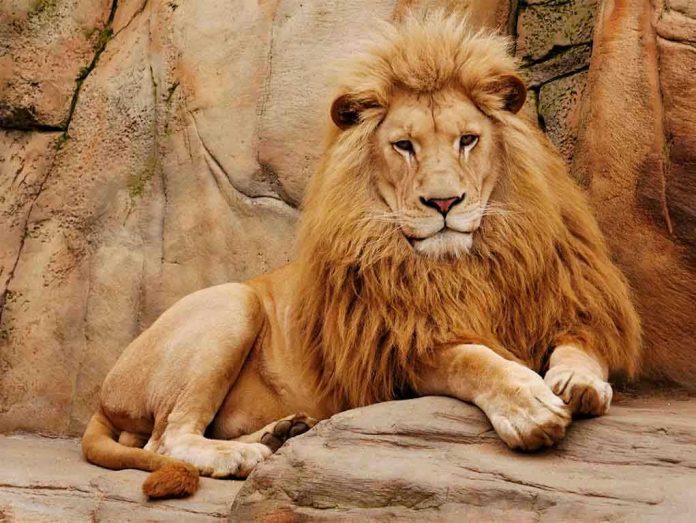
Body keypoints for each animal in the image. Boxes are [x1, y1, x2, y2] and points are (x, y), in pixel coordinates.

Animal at [82, 13, 641, 499]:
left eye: (467, 140)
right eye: (404, 146)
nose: (444, 203)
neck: (466, 264)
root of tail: (105, 392)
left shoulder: (568, 299)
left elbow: (581, 343)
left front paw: (578, 381)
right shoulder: (400, 352)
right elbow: (474, 360)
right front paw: (529, 406)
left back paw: (280, 435)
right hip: (230, 305)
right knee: (167, 437)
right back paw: (242, 456)